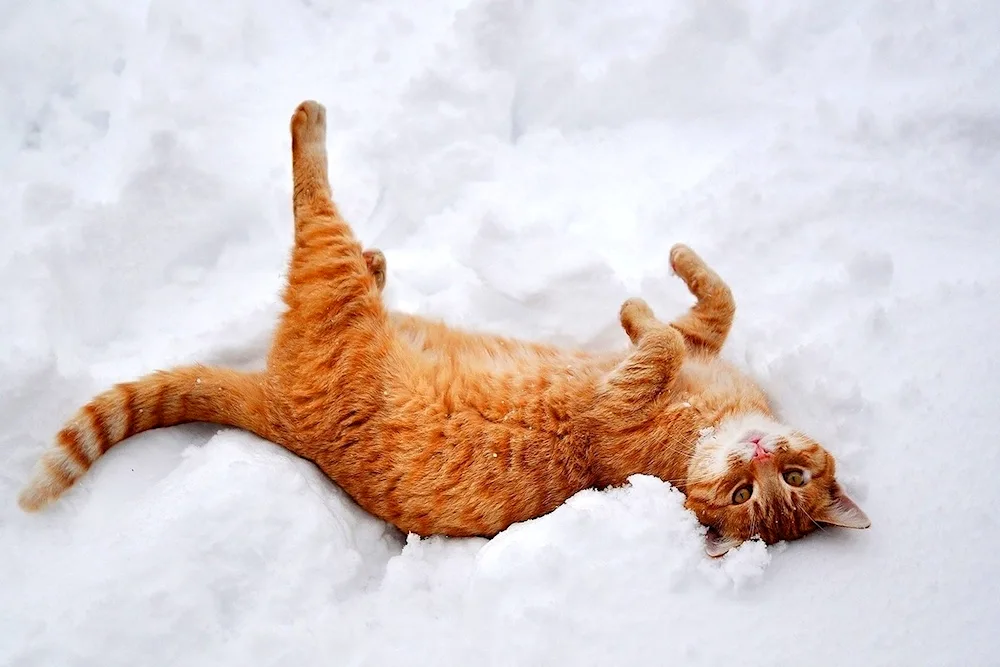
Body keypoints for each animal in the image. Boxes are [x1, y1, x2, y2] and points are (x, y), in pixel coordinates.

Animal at [13, 100, 868, 560]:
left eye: (761, 491)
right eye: (780, 479)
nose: (760, 455)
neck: (708, 423)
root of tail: (280, 407)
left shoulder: (617, 406)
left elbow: (653, 340)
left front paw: (634, 307)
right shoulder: (694, 344)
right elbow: (711, 301)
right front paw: (660, 282)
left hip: (328, 281)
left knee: (311, 191)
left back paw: (314, 127)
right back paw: (378, 256)